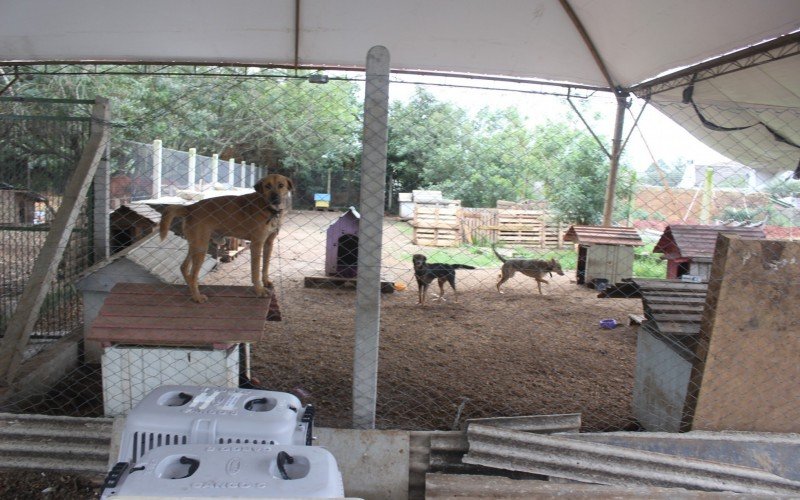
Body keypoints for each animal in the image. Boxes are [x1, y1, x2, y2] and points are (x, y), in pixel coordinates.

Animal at [158, 174, 292, 302]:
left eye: (281, 185)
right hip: (201, 247)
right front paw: (259, 290)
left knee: (184, 267)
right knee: (192, 274)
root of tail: (191, 207)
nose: (275, 198)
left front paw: (266, 282)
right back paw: (197, 297)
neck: (269, 209)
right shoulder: (256, 244)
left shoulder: (268, 244)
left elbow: (265, 266)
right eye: (267, 186)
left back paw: (191, 288)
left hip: (196, 244)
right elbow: (255, 271)